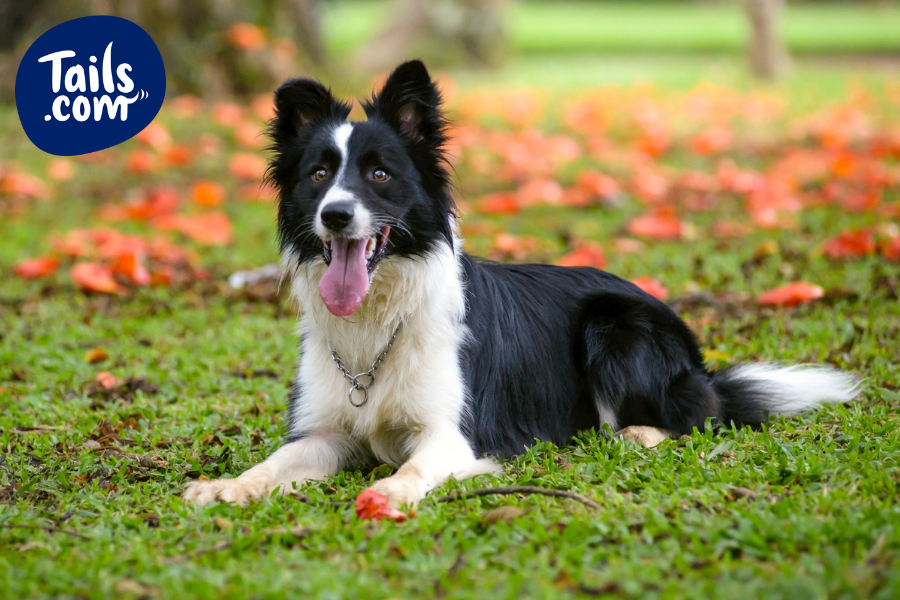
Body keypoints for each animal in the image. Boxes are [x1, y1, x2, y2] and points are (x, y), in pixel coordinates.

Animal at [183, 62, 856, 506]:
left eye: (379, 174)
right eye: (319, 175)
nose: (337, 216)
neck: (379, 318)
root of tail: (696, 358)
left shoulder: (453, 435)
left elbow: (411, 470)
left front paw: (388, 494)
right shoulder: (324, 432)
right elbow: (274, 462)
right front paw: (225, 486)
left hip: (614, 325)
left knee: (694, 416)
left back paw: (636, 432)